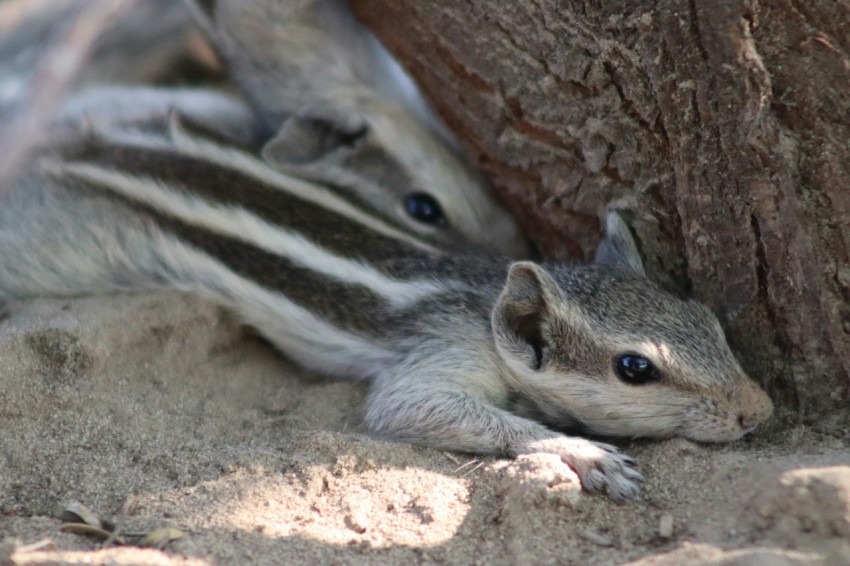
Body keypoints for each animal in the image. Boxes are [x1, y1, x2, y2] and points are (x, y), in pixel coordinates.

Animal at [0, 113, 774, 501]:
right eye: (635, 369)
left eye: (706, 319)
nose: (759, 410)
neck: (484, 299)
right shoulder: (442, 352)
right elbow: (410, 407)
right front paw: (582, 453)